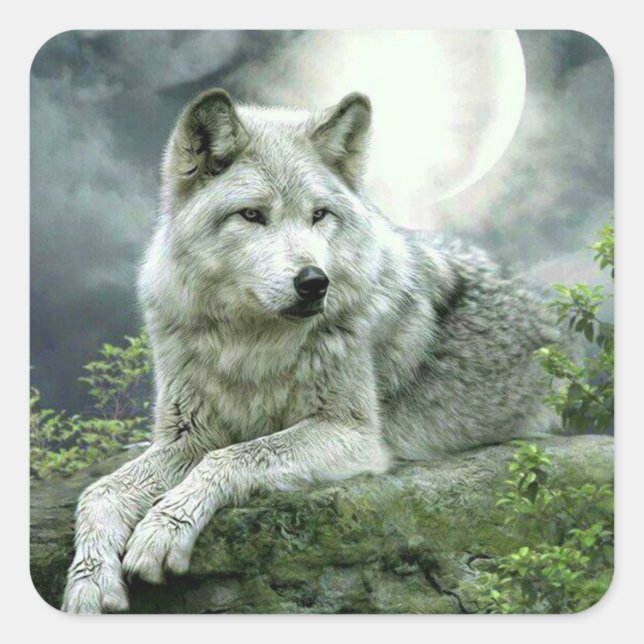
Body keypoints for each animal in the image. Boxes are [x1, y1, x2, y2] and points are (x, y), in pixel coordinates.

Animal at [62, 89, 562, 613]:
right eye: (252, 215)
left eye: (319, 214)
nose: (314, 282)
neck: (251, 344)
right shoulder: (187, 436)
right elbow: (99, 491)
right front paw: (90, 581)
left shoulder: (353, 434)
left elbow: (232, 457)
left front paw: (162, 528)